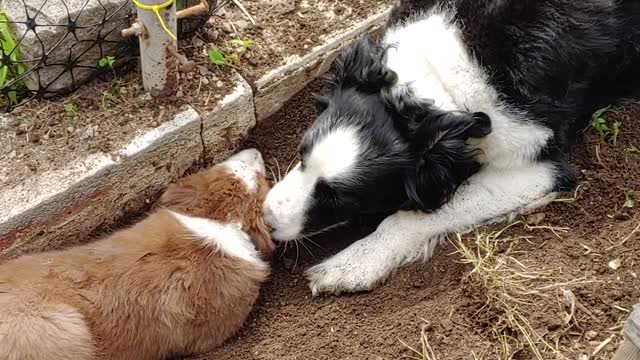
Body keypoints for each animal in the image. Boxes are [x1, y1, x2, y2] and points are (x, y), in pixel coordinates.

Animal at [262, 0, 640, 296]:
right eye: (300, 155)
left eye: (340, 199)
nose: (265, 220)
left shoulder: (540, 165)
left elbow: (414, 216)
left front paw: (352, 264)